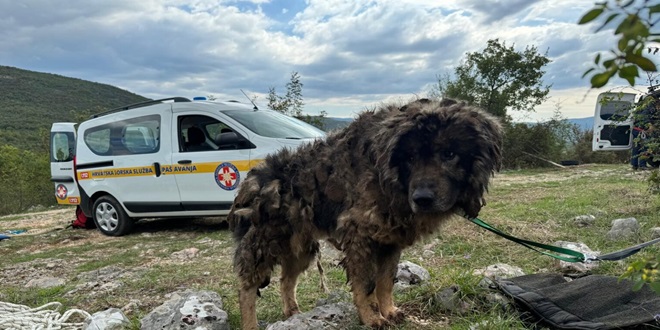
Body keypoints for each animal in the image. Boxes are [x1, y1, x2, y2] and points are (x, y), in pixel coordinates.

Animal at [229, 97, 502, 328]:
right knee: (246, 287)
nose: (422, 199)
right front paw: (371, 317)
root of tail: (251, 180)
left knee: (286, 279)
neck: (386, 177)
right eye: (410, 158)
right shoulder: (360, 237)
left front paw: (388, 311)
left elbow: (385, 282)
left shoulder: (391, 241)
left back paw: (292, 312)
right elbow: (366, 285)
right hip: (265, 243)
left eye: (449, 154)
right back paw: (251, 323)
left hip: (300, 248)